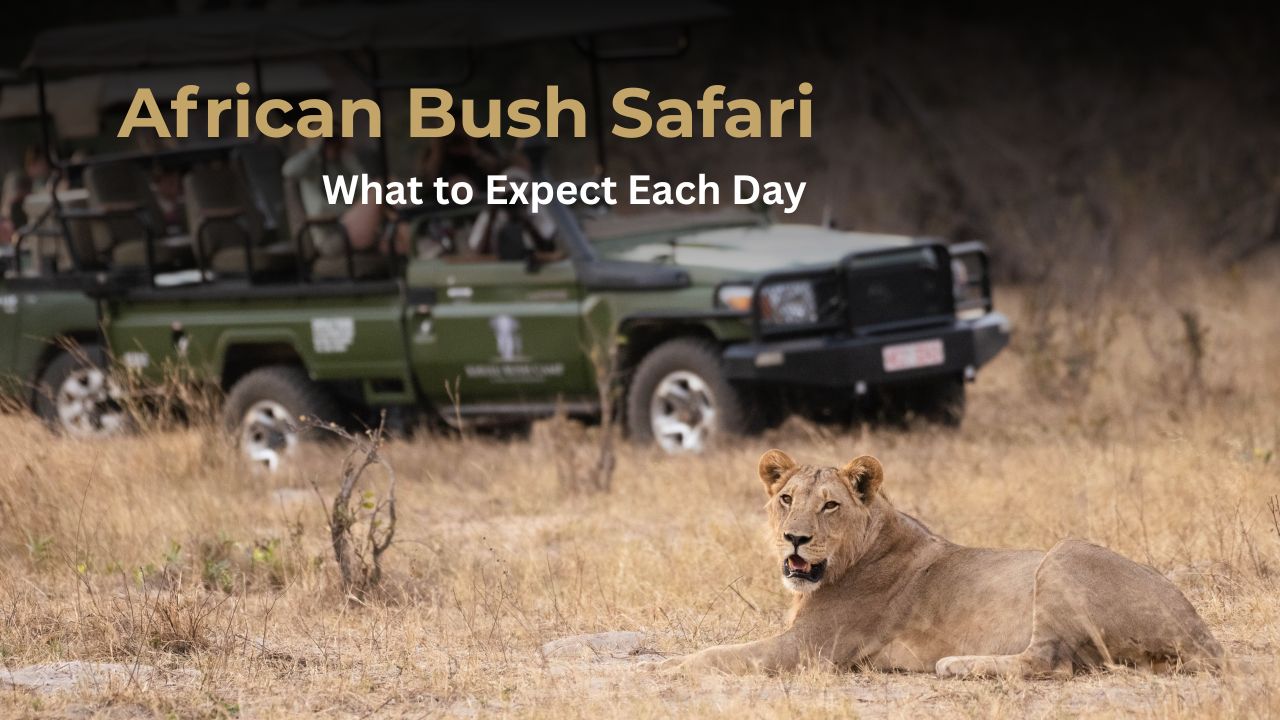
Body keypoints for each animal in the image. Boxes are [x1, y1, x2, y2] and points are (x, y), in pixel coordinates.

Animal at [657, 450, 1224, 678]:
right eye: (786, 499)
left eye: (830, 505)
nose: (794, 539)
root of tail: (1203, 634)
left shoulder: (811, 649)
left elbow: (720, 654)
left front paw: (665, 665)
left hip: (1065, 553)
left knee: (1048, 661)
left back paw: (956, 665)